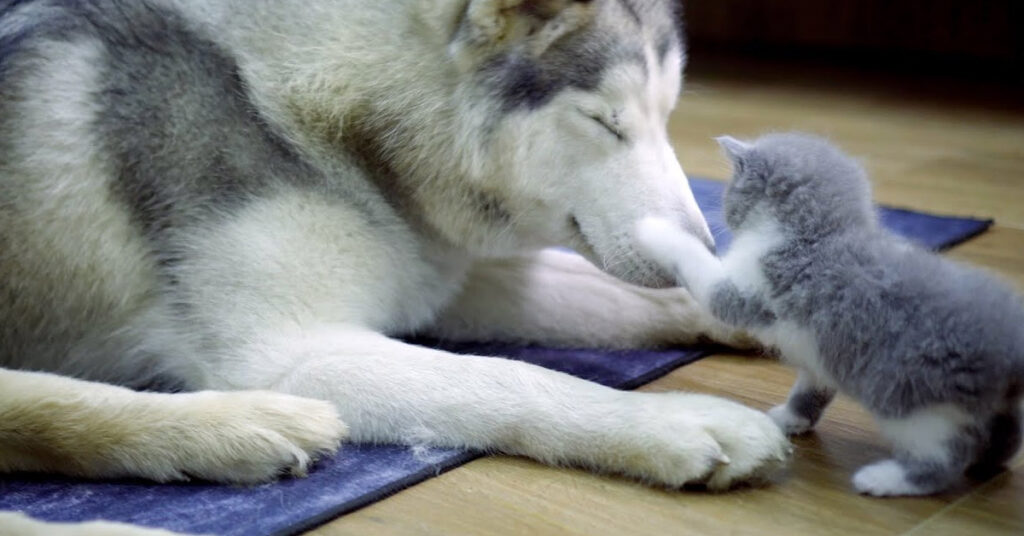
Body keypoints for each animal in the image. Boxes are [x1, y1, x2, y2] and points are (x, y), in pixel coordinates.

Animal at [0, 0, 790, 528]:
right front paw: (674, 422)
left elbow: (617, 298)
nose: (702, 243)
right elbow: (513, 379)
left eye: (668, 115)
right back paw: (234, 430)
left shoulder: (439, 276)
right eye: (604, 121)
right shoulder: (288, 353)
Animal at [638, 132, 1024, 498]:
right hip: (990, 404)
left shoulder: (749, 288)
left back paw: (889, 479)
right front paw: (793, 418)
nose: (724, 213)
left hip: (919, 404)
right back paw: (987, 464)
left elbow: (698, 267)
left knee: (943, 459)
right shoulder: (822, 351)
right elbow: (813, 386)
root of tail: (1010, 343)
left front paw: (654, 230)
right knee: (1006, 433)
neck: (815, 236)